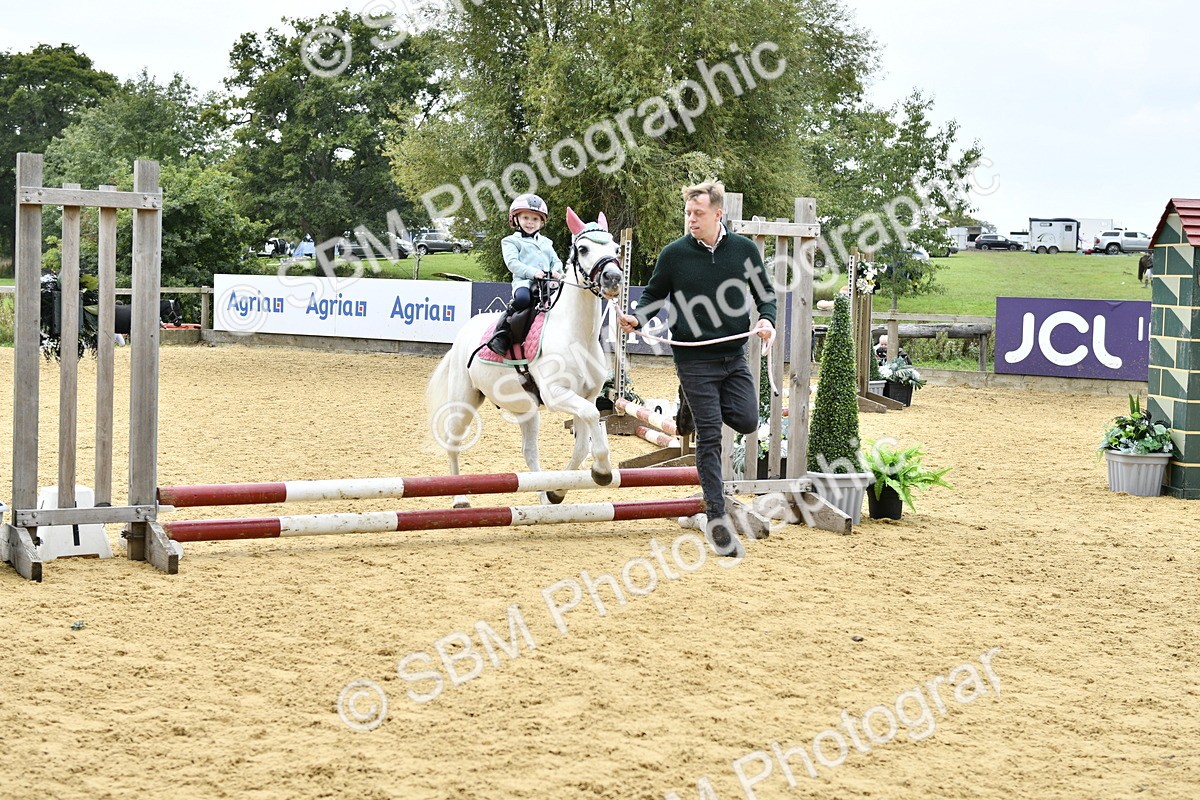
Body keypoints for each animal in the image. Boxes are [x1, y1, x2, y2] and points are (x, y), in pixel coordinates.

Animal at [425, 208, 623, 508]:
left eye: (616, 248)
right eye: (583, 249)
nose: (613, 278)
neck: (576, 335)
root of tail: (465, 332)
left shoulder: (586, 397)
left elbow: (581, 444)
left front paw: (558, 491)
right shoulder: (556, 394)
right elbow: (590, 425)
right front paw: (601, 470)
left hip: (525, 409)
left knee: (529, 452)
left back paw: (543, 497)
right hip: (464, 400)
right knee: (453, 442)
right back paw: (459, 498)